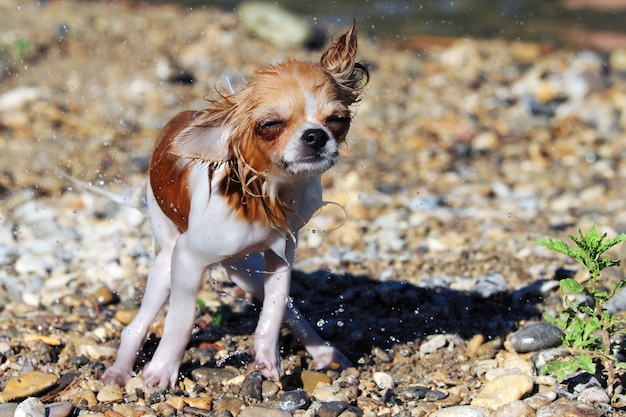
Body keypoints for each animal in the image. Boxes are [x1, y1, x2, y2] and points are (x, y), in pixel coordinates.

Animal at [101, 22, 366, 386]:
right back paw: (120, 370)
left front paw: (267, 353)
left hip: (244, 270)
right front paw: (162, 369)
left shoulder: (281, 253)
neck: (267, 193)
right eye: (271, 125)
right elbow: (181, 320)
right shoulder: (186, 259)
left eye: (338, 120)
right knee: (136, 325)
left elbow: (277, 303)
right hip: (166, 258)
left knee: (290, 308)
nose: (315, 135)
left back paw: (322, 352)